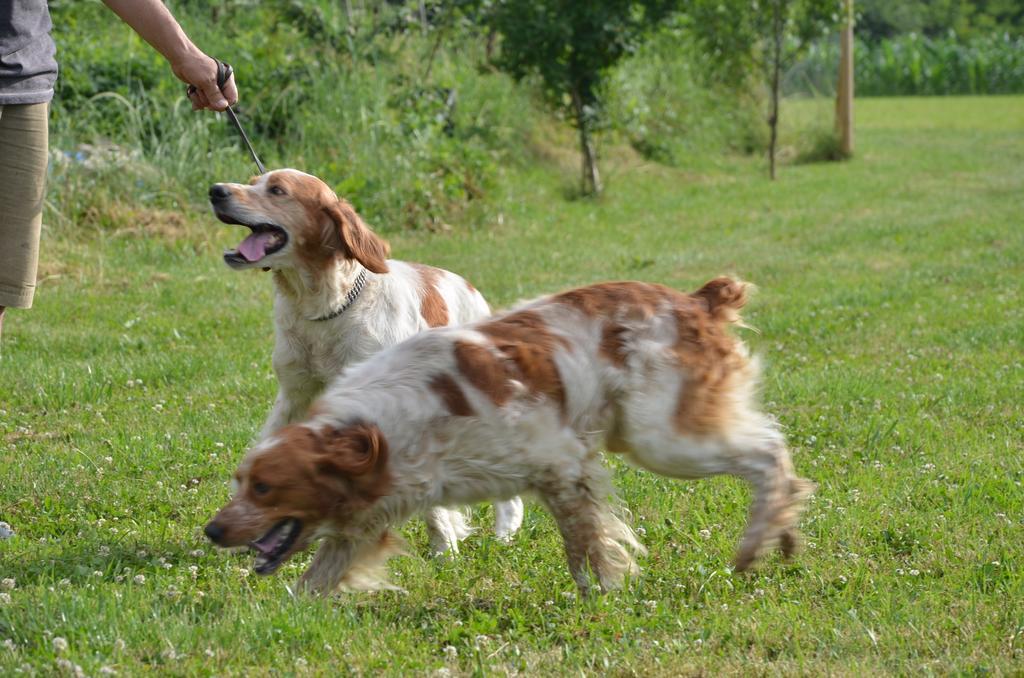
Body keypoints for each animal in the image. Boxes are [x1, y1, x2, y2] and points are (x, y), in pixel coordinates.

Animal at [203, 276, 811, 594]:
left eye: (265, 488)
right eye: (241, 482)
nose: (211, 530)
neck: (388, 428)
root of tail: (697, 298)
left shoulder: (564, 466)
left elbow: (586, 547)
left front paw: (602, 594)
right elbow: (314, 579)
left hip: (660, 438)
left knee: (768, 453)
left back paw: (758, 543)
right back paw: (781, 537)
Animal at [209, 170, 528, 557]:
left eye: (277, 190)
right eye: (251, 180)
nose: (215, 191)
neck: (324, 311)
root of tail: (470, 288)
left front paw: (443, 547)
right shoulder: (295, 396)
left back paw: (506, 530)